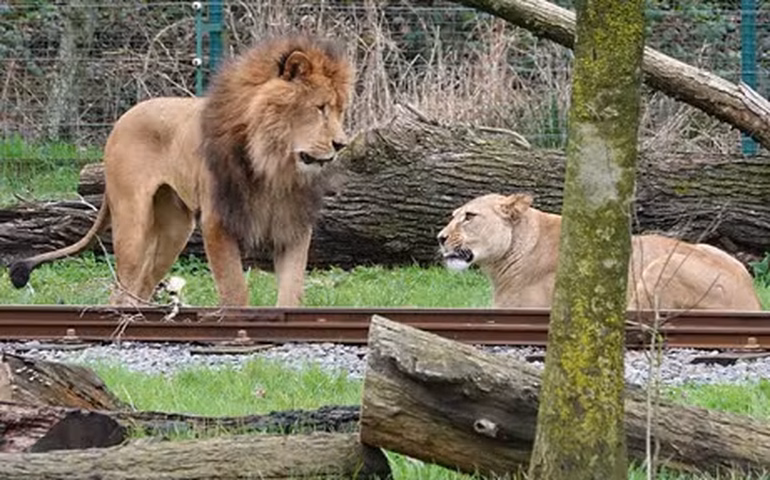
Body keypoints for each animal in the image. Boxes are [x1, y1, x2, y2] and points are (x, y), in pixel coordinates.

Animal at [9, 34, 355, 308]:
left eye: (340, 110)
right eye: (320, 108)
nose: (341, 144)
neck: (274, 166)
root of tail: (123, 118)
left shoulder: (292, 225)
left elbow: (291, 292)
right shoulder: (217, 222)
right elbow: (234, 290)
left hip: (175, 229)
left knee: (142, 286)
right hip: (134, 224)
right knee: (122, 288)